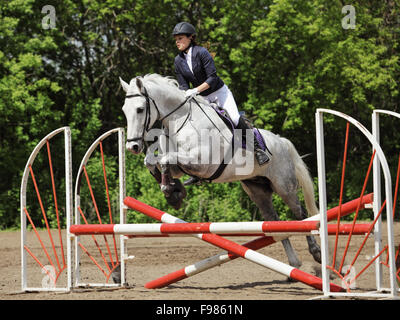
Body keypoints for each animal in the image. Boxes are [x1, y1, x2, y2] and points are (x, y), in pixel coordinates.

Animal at [119, 74, 322, 268]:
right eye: (124, 110)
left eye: (139, 109)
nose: (132, 147)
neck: (181, 120)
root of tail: (282, 141)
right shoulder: (178, 166)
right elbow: (153, 161)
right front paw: (174, 191)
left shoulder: (202, 163)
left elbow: (164, 159)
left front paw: (173, 192)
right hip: (258, 190)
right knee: (273, 221)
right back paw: (294, 263)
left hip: (284, 186)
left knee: (300, 215)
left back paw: (316, 253)